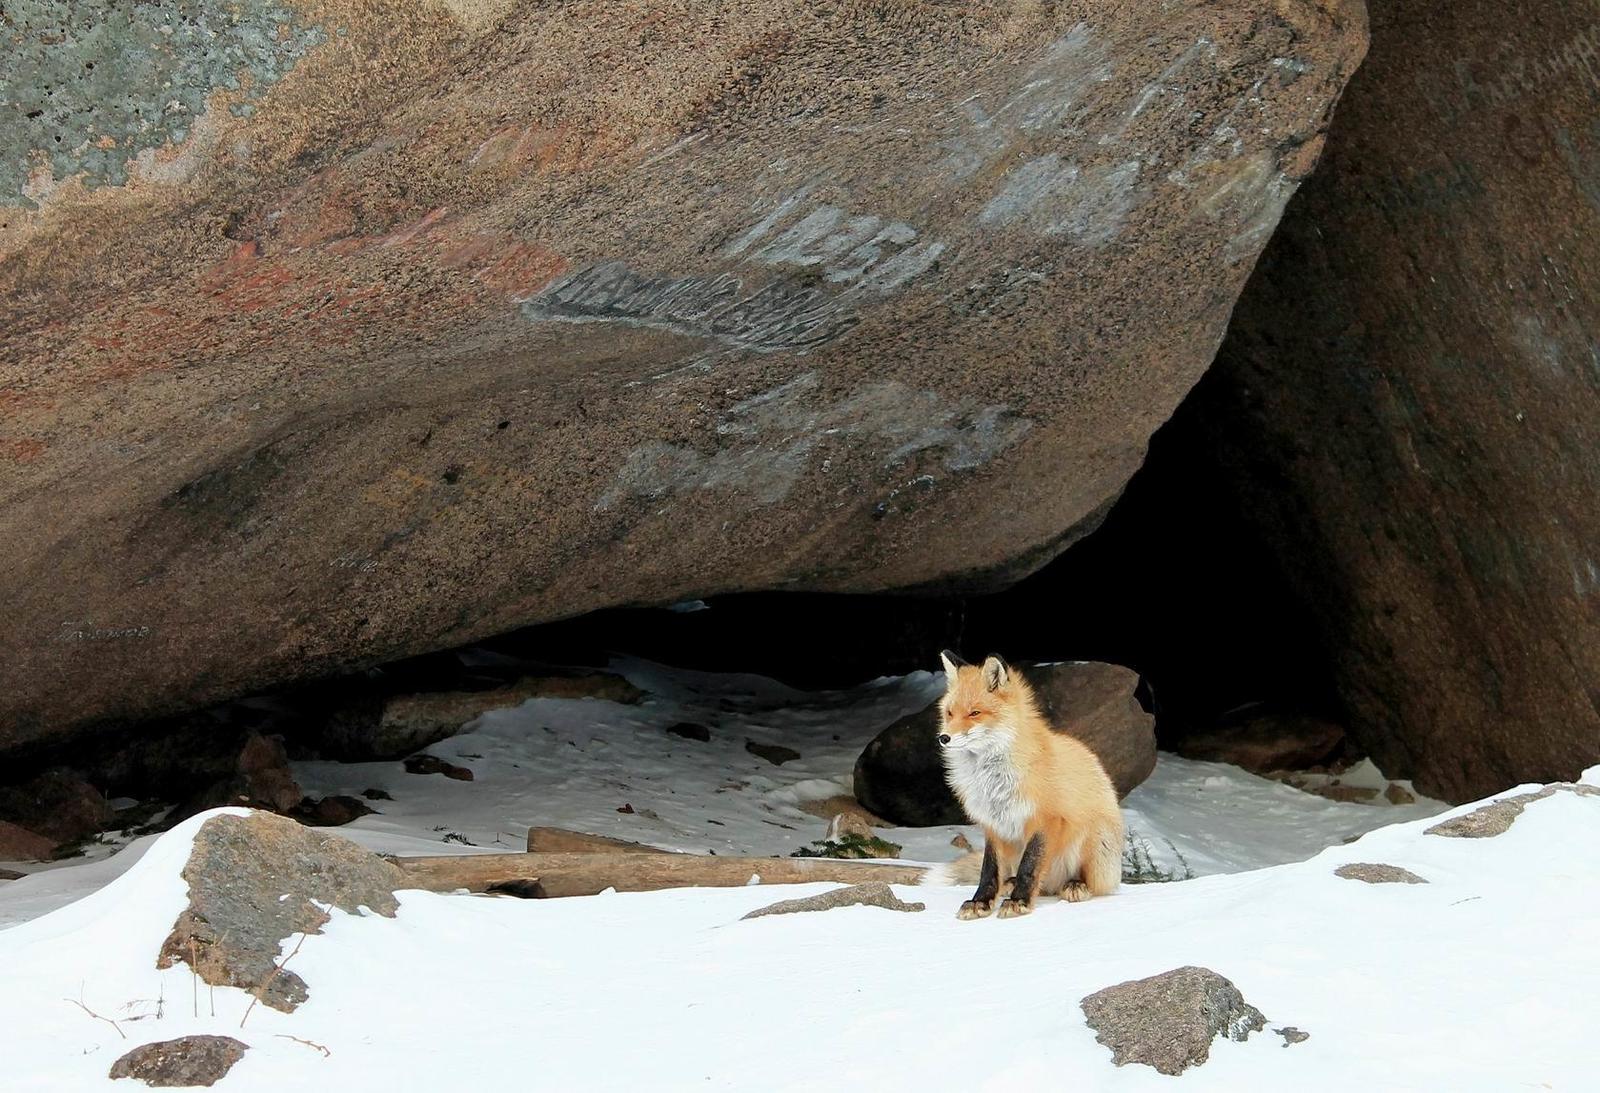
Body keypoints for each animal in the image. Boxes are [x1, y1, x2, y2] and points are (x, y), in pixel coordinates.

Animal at [928, 652, 1126, 921]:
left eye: (974, 713)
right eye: (949, 713)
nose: (944, 738)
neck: (993, 780)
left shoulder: (1045, 818)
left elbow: (1029, 866)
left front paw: (1018, 902)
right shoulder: (994, 825)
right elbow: (989, 870)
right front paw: (980, 902)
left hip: (1096, 836)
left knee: (1096, 886)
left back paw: (1076, 886)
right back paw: (1010, 884)